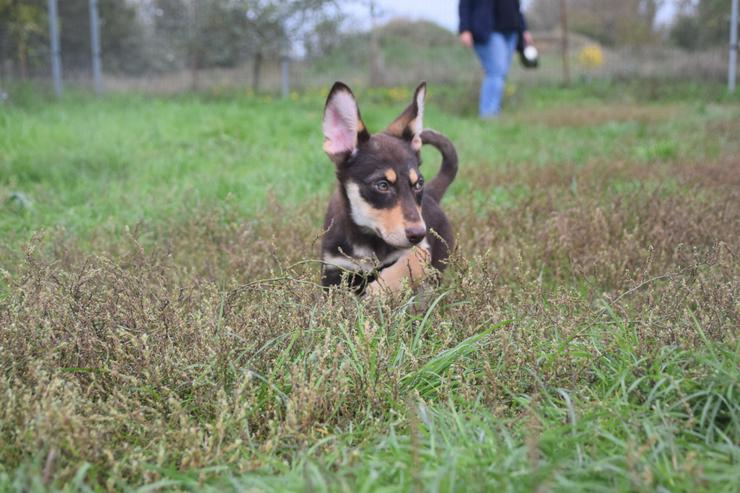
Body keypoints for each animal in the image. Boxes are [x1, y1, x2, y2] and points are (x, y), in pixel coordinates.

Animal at [320, 82, 456, 294]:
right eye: (382, 185)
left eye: (419, 184)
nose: (418, 233)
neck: (368, 242)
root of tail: (432, 196)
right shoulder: (336, 268)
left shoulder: (420, 251)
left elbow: (399, 271)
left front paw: (375, 294)